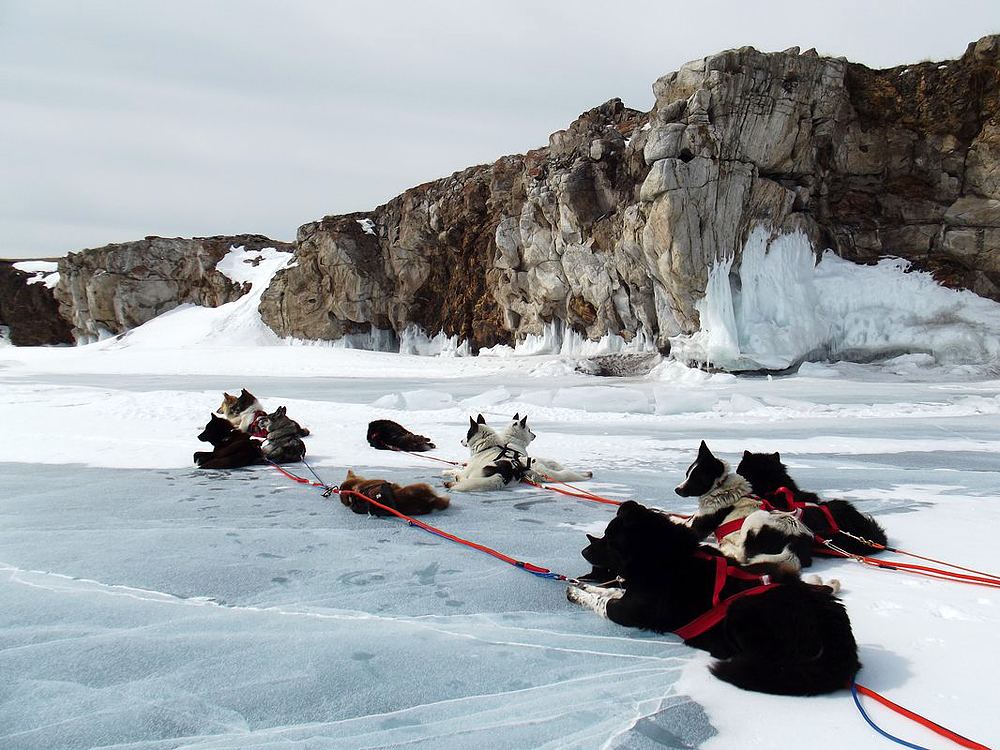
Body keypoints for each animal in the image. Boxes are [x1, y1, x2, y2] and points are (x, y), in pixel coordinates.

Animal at [568, 502, 864, 696]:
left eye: (610, 540)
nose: (583, 550)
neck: (663, 559)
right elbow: (610, 591)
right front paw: (584, 587)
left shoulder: (629, 612)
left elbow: (604, 603)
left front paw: (577, 593)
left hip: (742, 610)